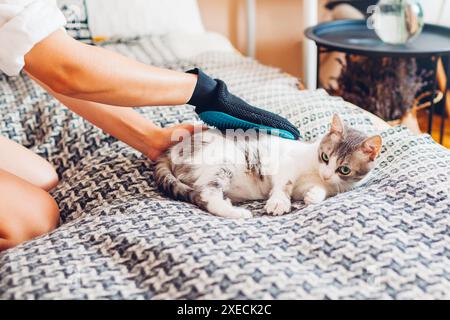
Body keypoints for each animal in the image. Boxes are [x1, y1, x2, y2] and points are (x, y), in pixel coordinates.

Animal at [154, 114, 380, 219]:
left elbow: (317, 190)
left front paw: (314, 195)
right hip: (223, 162)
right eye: (325, 157)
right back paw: (237, 213)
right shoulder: (287, 163)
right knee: (207, 195)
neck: (314, 170)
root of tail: (172, 149)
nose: (325, 174)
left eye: (344, 170)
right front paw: (279, 202)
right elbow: (284, 182)